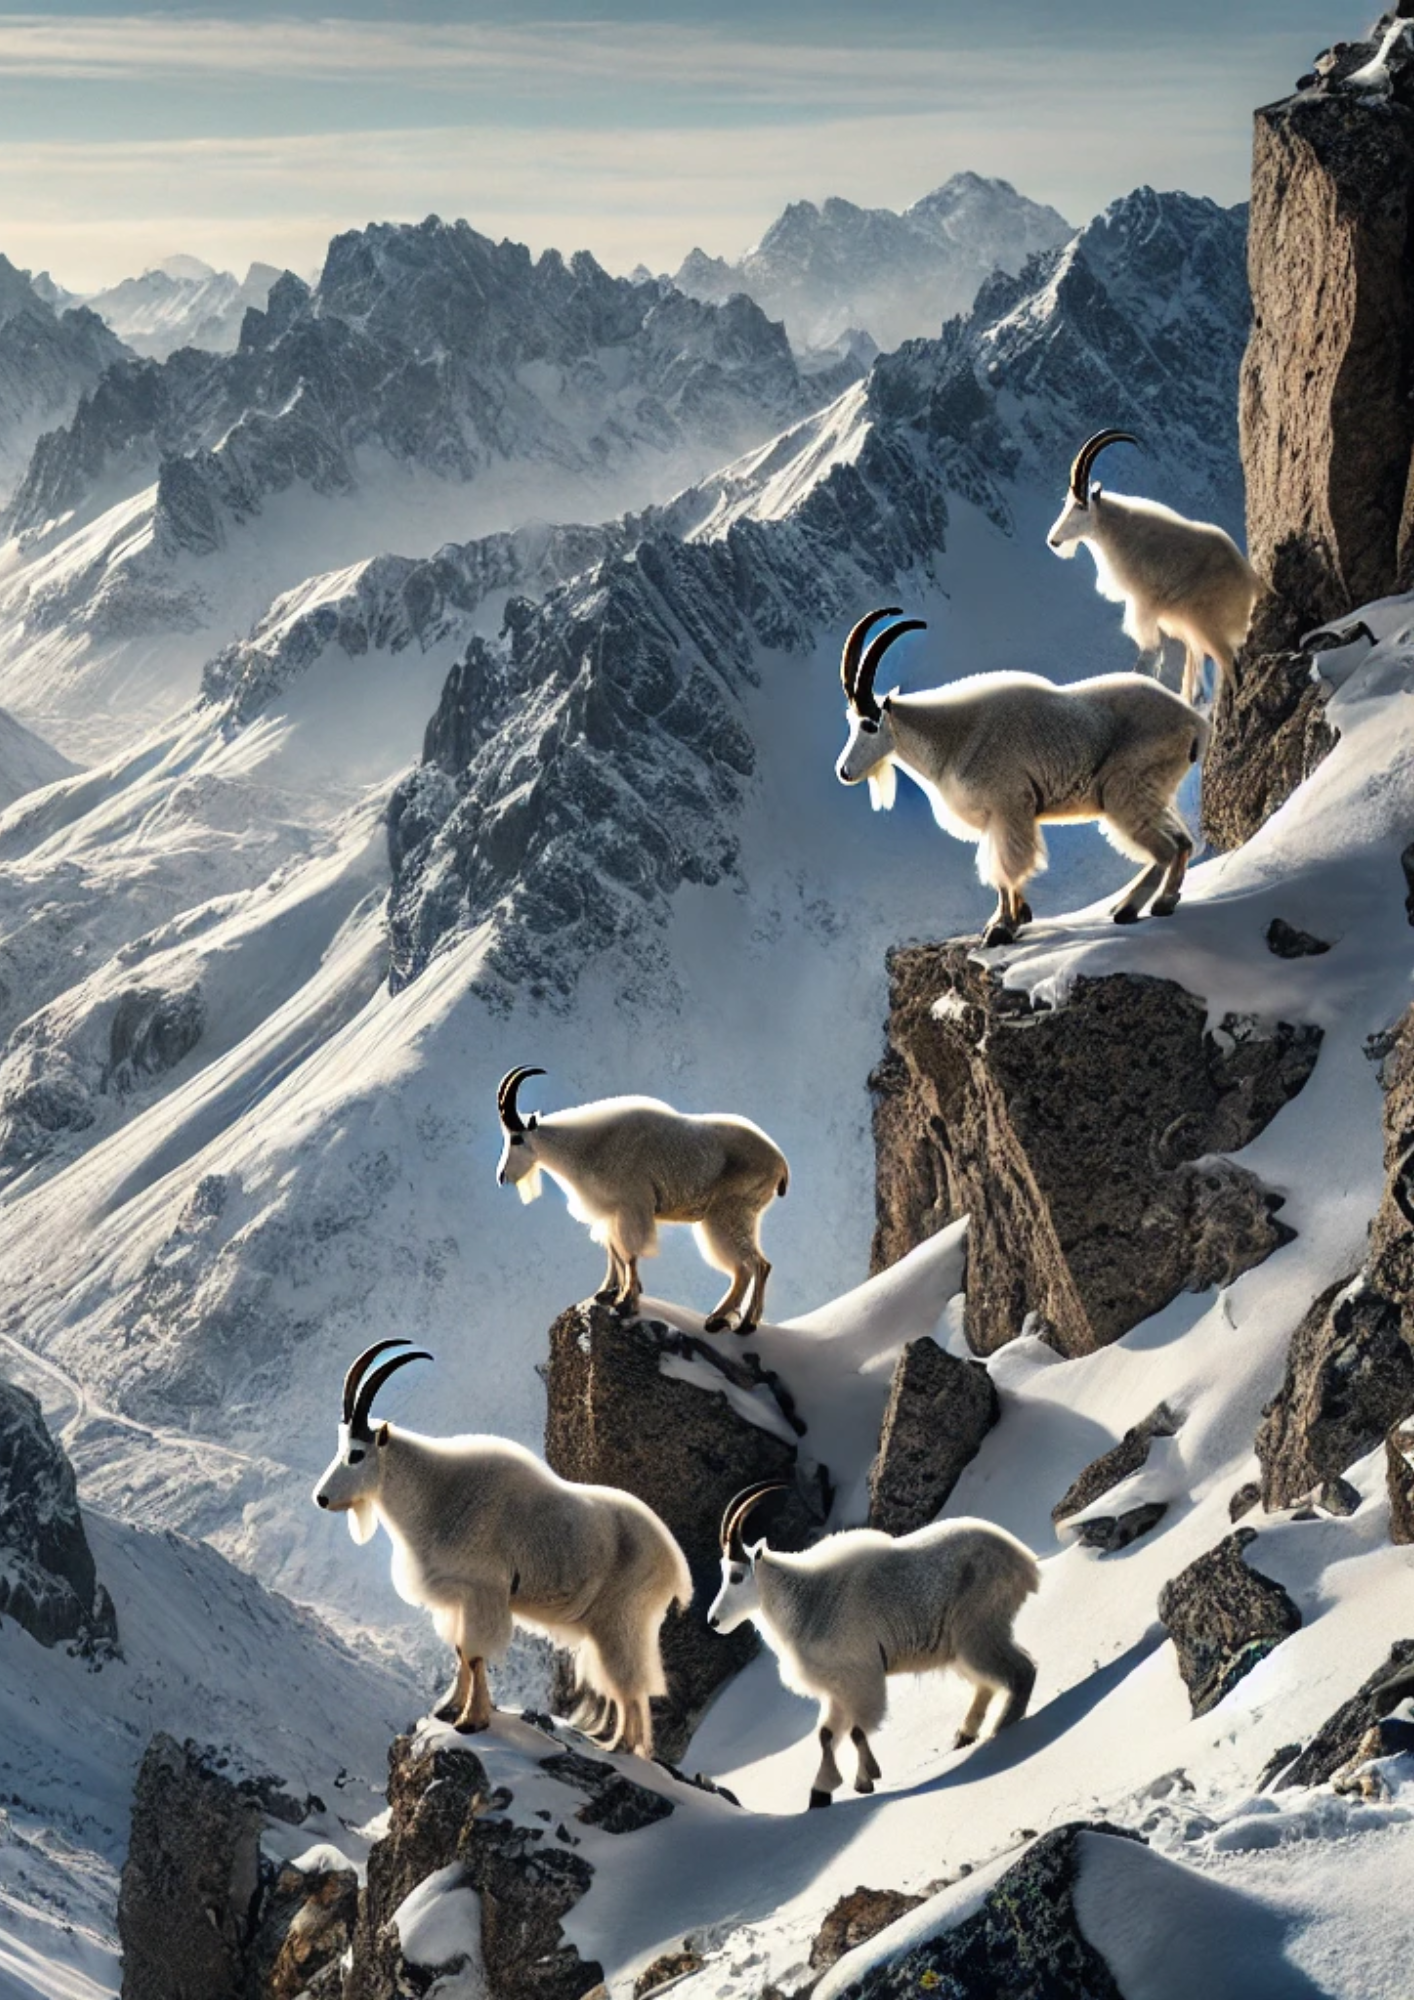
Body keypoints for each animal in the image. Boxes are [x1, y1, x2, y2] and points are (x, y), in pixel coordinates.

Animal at [313, 1339, 691, 1755]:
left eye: (356, 1454)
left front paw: (471, 1721)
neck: (437, 1495)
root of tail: (675, 1562)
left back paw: (620, 1747)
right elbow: (461, 1653)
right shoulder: (460, 1598)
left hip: (623, 1619)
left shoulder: (484, 1593)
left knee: (631, 1682)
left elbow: (476, 1654)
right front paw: (450, 1710)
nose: (322, 1498)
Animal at [495, 1067, 789, 1333]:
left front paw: (625, 1301)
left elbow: (630, 1253)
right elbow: (613, 1251)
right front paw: (607, 1292)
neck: (587, 1147)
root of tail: (781, 1164)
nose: (502, 1176)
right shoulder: (611, 1212)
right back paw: (725, 1320)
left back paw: (739, 1323)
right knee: (747, 1268)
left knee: (755, 1265)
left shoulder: (632, 1206)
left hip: (729, 1214)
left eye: (517, 1138)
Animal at [708, 1480, 1039, 1809]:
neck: (809, 1601)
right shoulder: (837, 1689)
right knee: (989, 1682)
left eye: (736, 1576)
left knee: (1021, 1670)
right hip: (959, 1646)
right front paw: (820, 1794)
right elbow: (826, 1735)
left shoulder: (862, 1677)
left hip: (977, 1630)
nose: (714, 1620)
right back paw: (964, 1735)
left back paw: (1001, 1727)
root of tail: (1023, 1560)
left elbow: (856, 1732)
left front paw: (864, 1781)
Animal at [835, 607, 1208, 944]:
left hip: (1124, 790)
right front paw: (1014, 918)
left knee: (1165, 848)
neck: (951, 738)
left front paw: (1002, 928)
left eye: (869, 725)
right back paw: (1161, 901)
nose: (844, 771)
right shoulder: (1000, 818)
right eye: (850, 722)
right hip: (1154, 791)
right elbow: (1004, 872)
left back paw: (1130, 908)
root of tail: (1195, 723)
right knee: (1183, 842)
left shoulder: (1009, 807)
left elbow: (1005, 868)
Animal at [1047, 429, 1260, 706]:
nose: (1054, 541)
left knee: (1229, 670)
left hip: (1210, 631)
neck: (1119, 532)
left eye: (1081, 506)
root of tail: (1251, 584)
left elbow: (1149, 652)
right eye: (1067, 502)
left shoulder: (1143, 607)